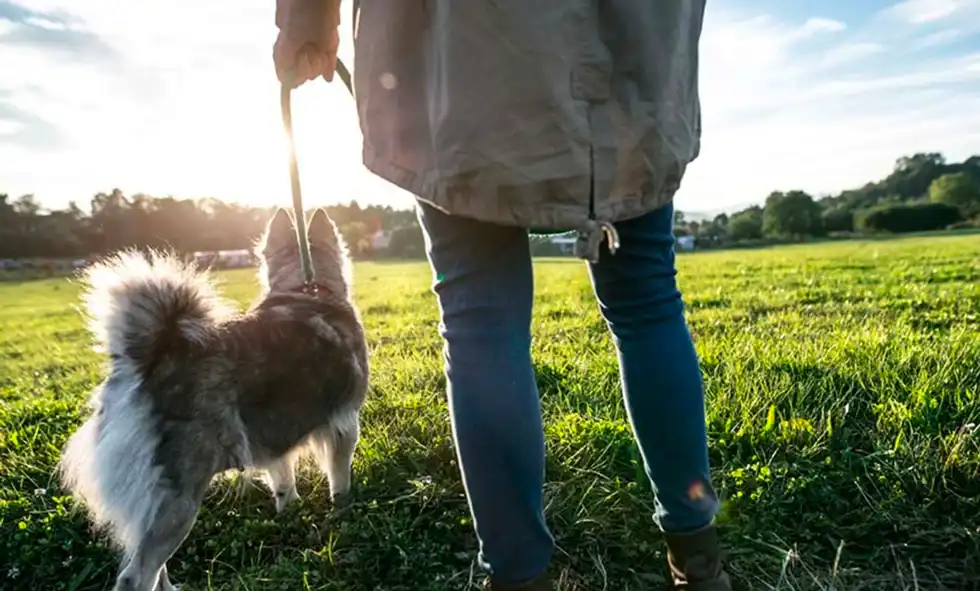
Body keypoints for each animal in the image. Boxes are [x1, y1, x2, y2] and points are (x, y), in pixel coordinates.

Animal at [58, 208, 372, 591]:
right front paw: (344, 511)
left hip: (153, 502)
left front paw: (290, 513)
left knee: (151, 564)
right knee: (137, 574)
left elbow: (283, 484)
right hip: (179, 499)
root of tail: (149, 362)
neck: (306, 290)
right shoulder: (345, 425)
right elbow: (339, 480)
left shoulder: (272, 442)